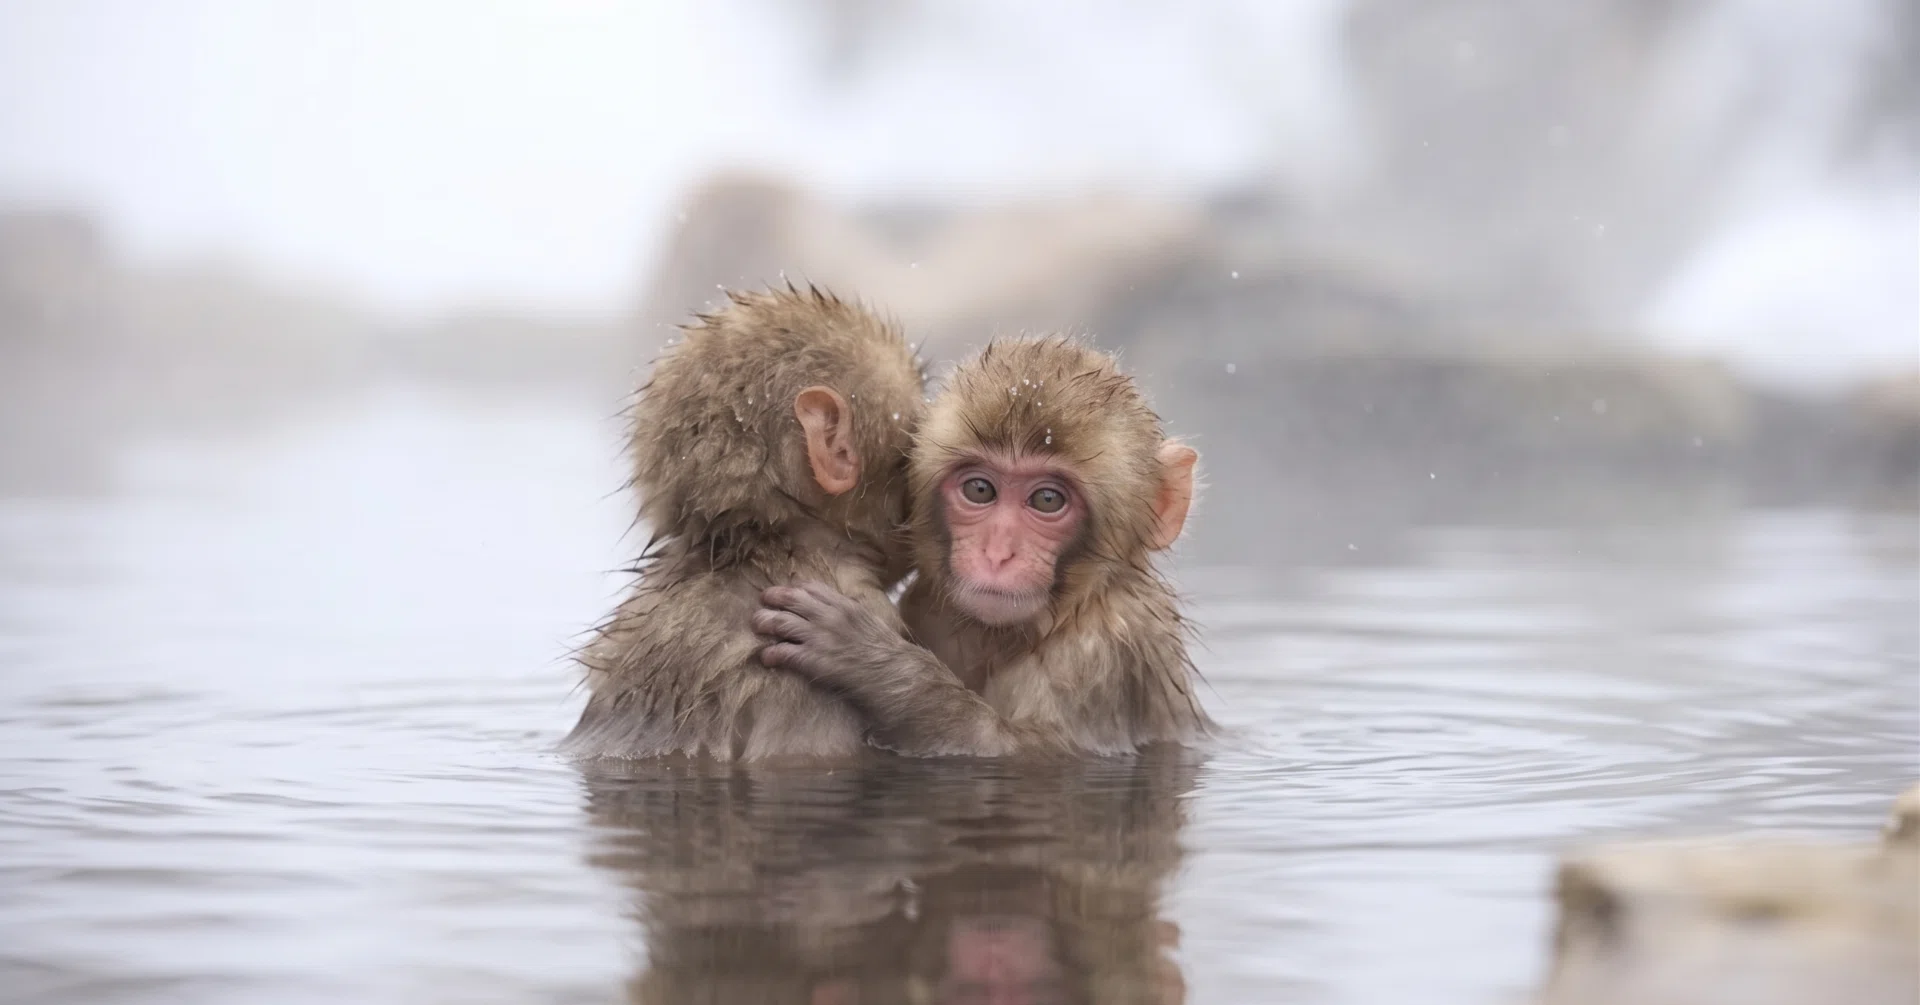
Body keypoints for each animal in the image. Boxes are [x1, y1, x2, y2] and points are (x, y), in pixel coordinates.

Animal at [752, 336, 1213, 757]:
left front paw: (874, 664)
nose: (997, 553)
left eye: (1048, 500)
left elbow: (1023, 749)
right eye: (979, 489)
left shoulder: (1102, 652)